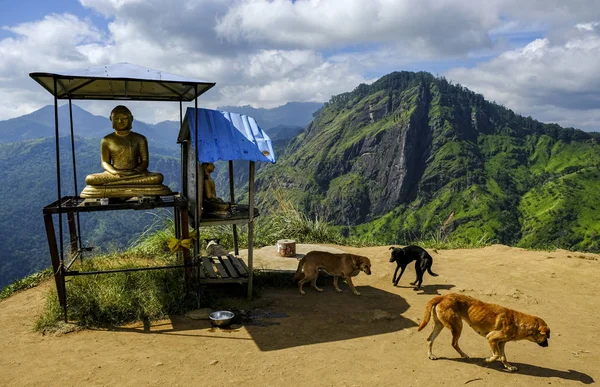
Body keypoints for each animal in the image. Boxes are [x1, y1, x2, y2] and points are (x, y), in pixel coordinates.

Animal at [418, 294, 548, 372]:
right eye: (547, 336)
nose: (547, 345)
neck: (517, 322)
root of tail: (443, 296)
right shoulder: (491, 338)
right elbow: (496, 355)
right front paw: (488, 360)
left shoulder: (501, 343)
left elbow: (503, 357)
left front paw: (509, 366)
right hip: (457, 326)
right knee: (454, 343)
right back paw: (464, 355)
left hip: (439, 325)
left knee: (429, 339)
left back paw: (431, 355)